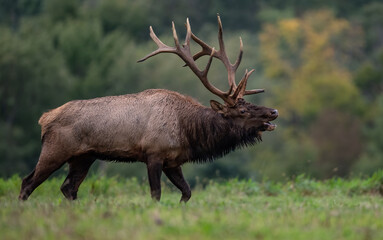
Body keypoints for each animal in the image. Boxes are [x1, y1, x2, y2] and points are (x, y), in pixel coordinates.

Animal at [19, 15, 280, 202]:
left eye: (250, 104)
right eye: (242, 111)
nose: (273, 112)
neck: (188, 131)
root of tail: (44, 119)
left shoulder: (174, 161)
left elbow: (187, 192)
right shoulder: (153, 154)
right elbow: (156, 194)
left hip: (83, 157)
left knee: (68, 188)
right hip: (55, 150)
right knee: (27, 183)